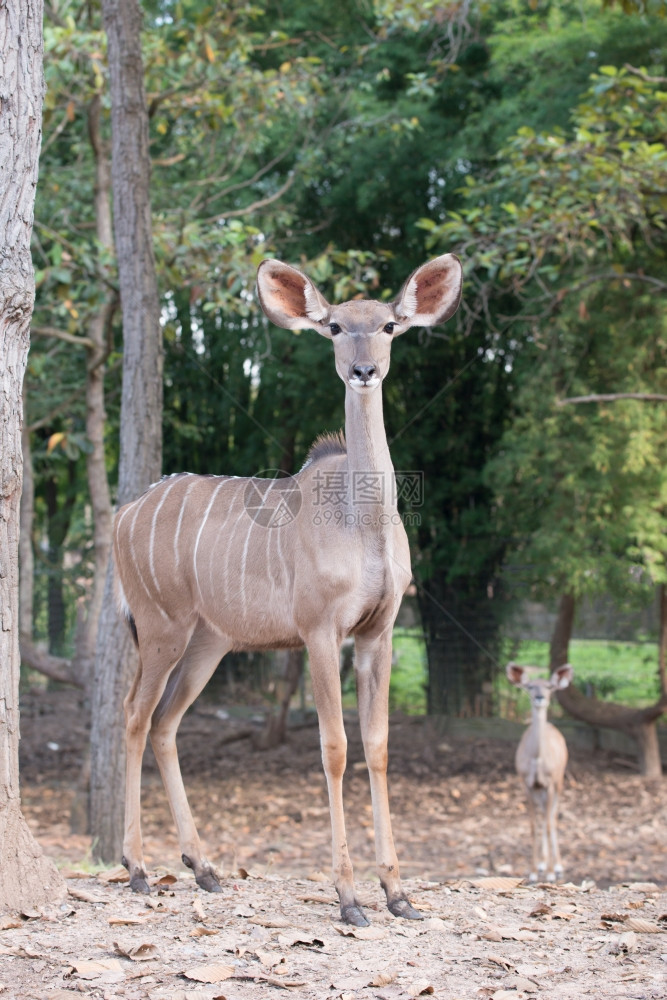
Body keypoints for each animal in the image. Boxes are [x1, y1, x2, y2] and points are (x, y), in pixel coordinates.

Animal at [113, 254, 464, 924]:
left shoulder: (378, 634)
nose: (363, 370)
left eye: (389, 326)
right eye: (333, 327)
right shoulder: (320, 632)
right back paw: (138, 868)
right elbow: (335, 746)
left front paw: (398, 893)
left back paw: (204, 868)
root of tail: (123, 514)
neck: (361, 522)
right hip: (162, 628)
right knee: (135, 716)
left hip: (209, 643)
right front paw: (349, 897)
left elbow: (379, 745)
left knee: (166, 723)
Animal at [506, 664, 576, 884]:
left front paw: (552, 873)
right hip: (540, 791)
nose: (539, 697)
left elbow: (547, 824)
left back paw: (557, 866)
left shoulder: (551, 782)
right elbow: (533, 826)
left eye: (549, 686)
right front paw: (533, 871)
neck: (537, 759)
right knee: (544, 815)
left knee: (552, 817)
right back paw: (543, 864)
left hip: (560, 782)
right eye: (529, 686)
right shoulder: (528, 784)